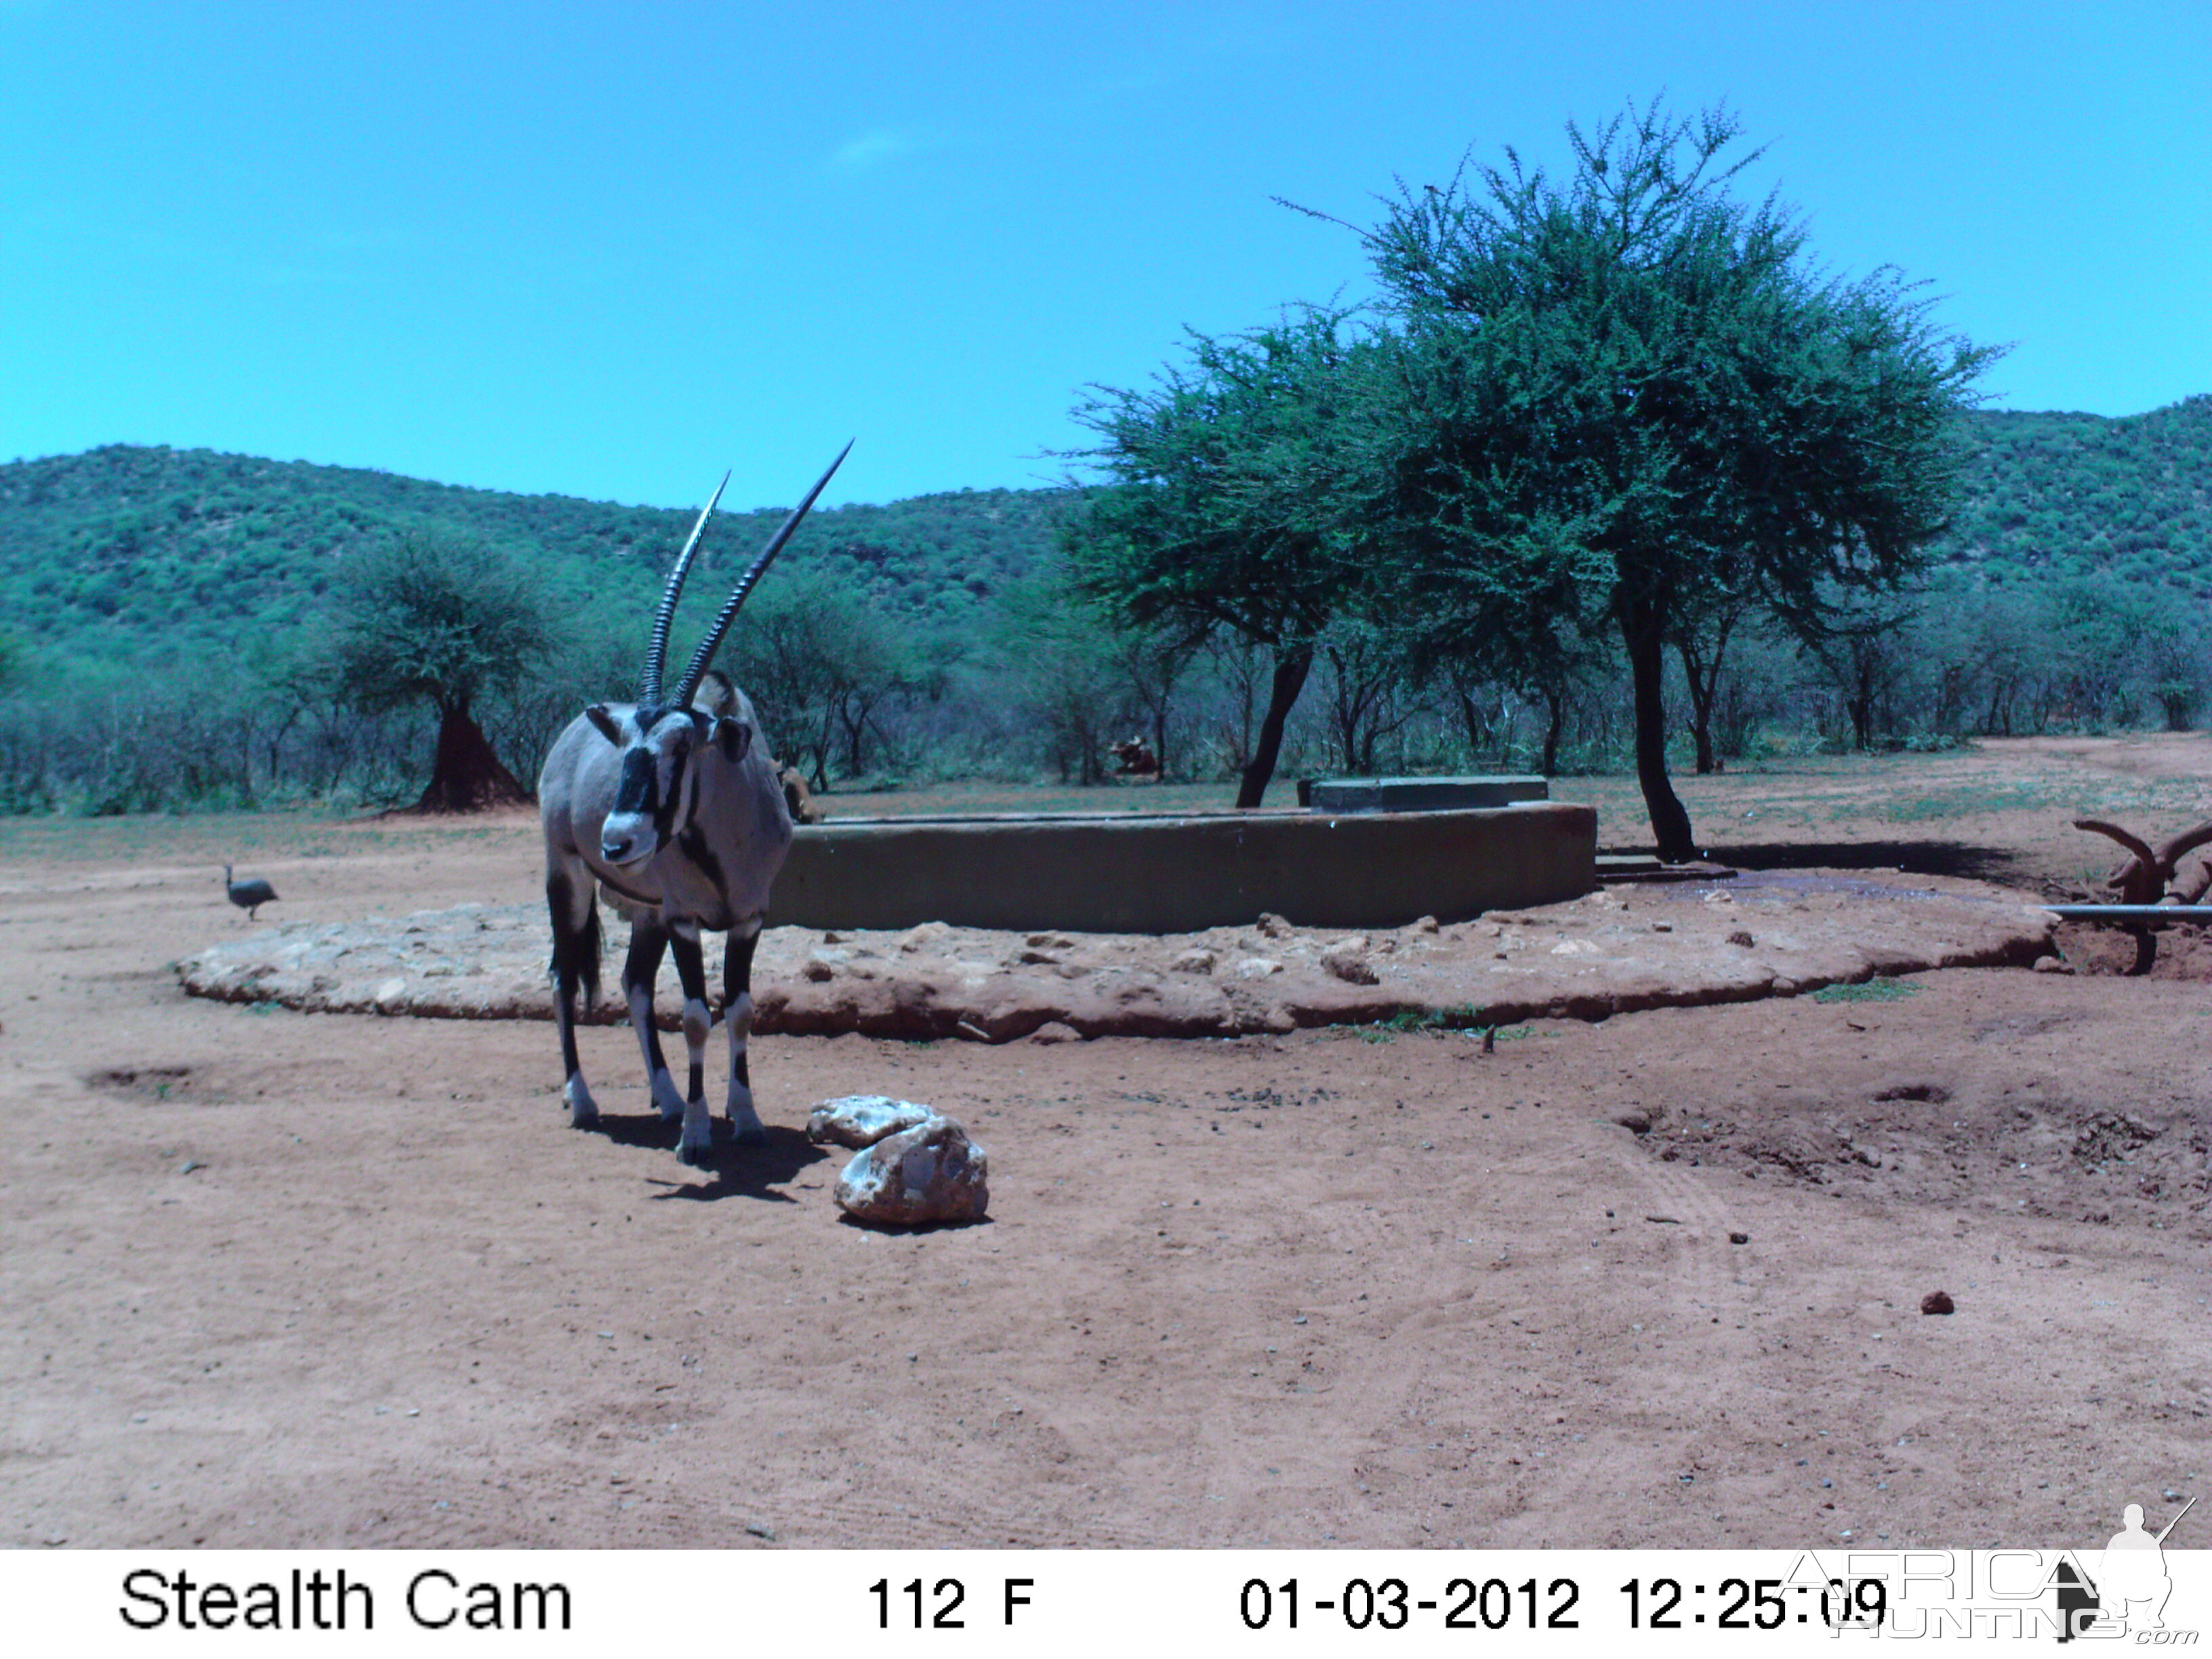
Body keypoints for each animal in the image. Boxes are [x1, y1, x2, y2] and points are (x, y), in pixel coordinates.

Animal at [535, 445, 844, 1168]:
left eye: (683, 745)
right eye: (625, 744)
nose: (618, 839)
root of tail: (564, 739)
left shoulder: (747, 918)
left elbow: (740, 1008)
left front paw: (744, 1118)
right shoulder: (686, 920)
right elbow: (700, 1015)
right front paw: (699, 1136)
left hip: (645, 910)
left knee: (633, 985)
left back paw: (668, 1097)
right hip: (570, 878)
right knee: (565, 977)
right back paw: (585, 1101)